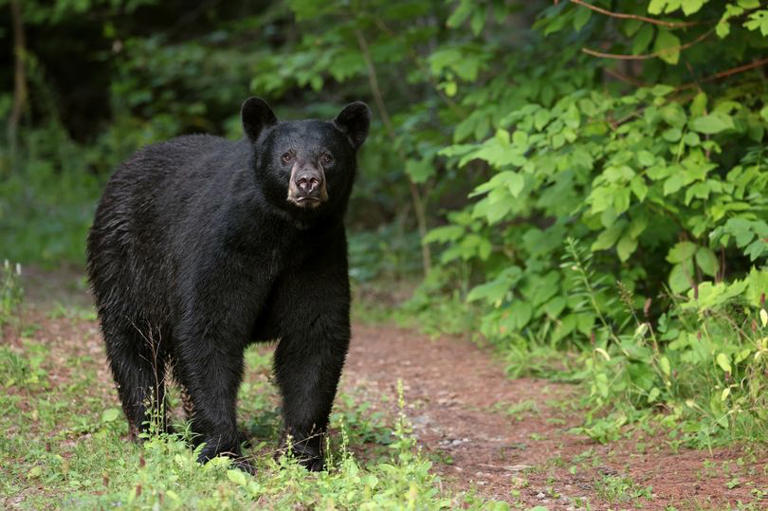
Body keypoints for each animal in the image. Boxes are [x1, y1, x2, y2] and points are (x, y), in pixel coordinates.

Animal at [85, 98, 370, 474]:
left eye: (327, 156)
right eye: (286, 156)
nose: (307, 182)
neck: (284, 235)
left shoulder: (318, 257)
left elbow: (314, 338)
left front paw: (303, 455)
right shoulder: (224, 249)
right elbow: (209, 330)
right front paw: (225, 452)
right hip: (126, 261)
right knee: (133, 342)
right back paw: (152, 429)